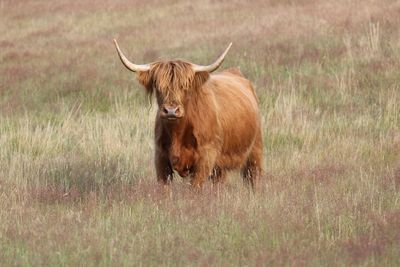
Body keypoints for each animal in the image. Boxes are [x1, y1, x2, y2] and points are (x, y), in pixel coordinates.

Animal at [113, 40, 262, 189]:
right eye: (158, 86)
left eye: (185, 86)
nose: (171, 111)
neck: (177, 133)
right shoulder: (160, 158)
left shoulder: (205, 158)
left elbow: (194, 188)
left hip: (255, 151)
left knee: (253, 177)